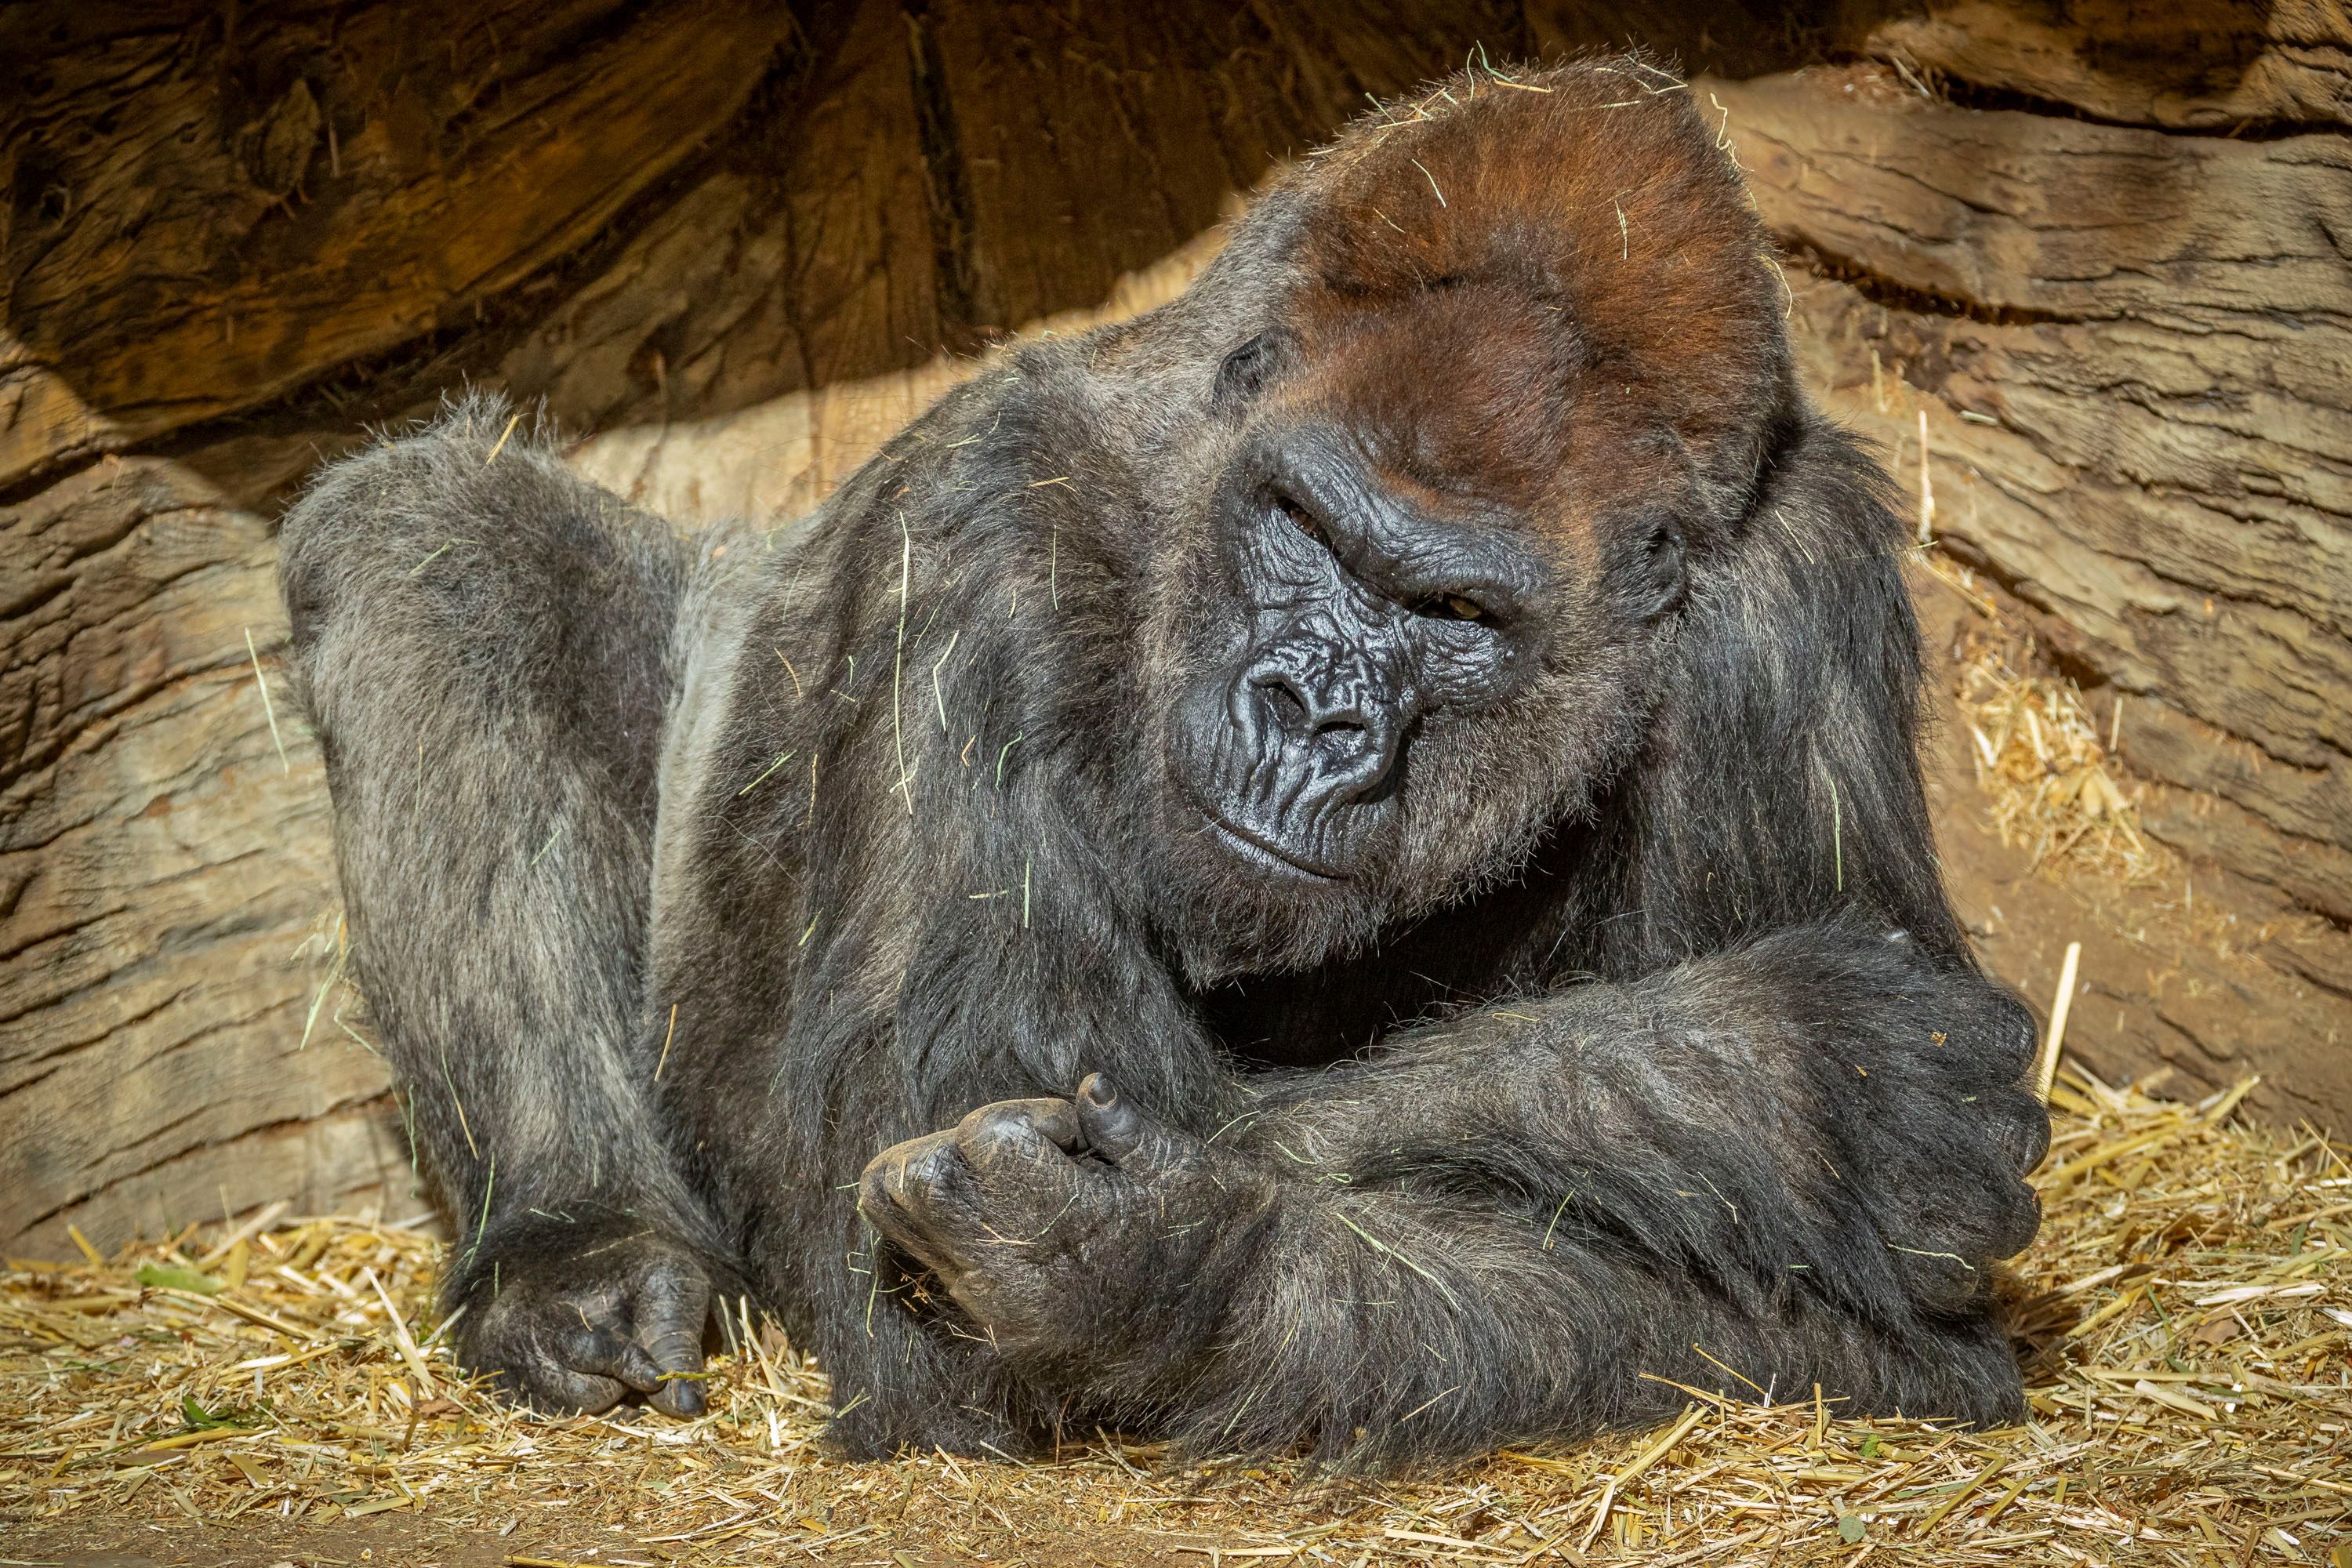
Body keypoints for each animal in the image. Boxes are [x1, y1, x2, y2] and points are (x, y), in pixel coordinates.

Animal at [270, 52, 2042, 1476]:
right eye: (1304, 529)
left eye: (1456, 613)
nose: (1310, 712)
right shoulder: (978, 532)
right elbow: (920, 1274)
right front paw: (1785, 1081)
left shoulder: (1793, 603)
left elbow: (1874, 1347)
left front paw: (1156, 1270)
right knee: (440, 536)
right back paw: (573, 1248)